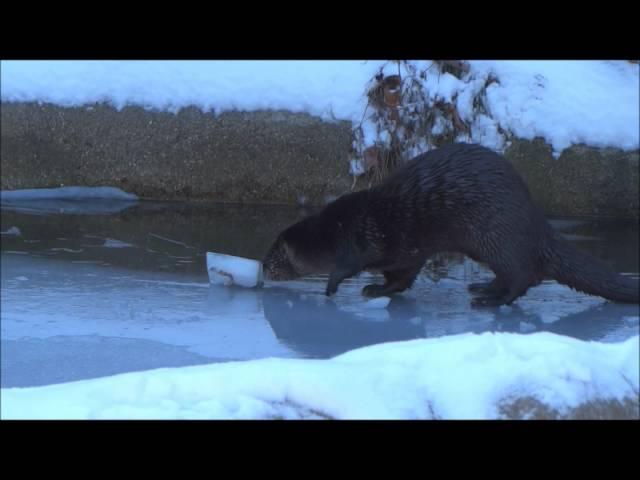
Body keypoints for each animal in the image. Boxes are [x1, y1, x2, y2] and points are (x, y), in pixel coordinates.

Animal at [262, 143, 640, 308]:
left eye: (273, 257)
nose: (263, 270)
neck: (335, 230)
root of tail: (536, 222)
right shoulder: (406, 250)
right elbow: (400, 279)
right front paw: (375, 290)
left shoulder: (361, 240)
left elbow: (352, 267)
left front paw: (332, 287)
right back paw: (482, 287)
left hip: (498, 235)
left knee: (523, 276)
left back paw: (490, 300)